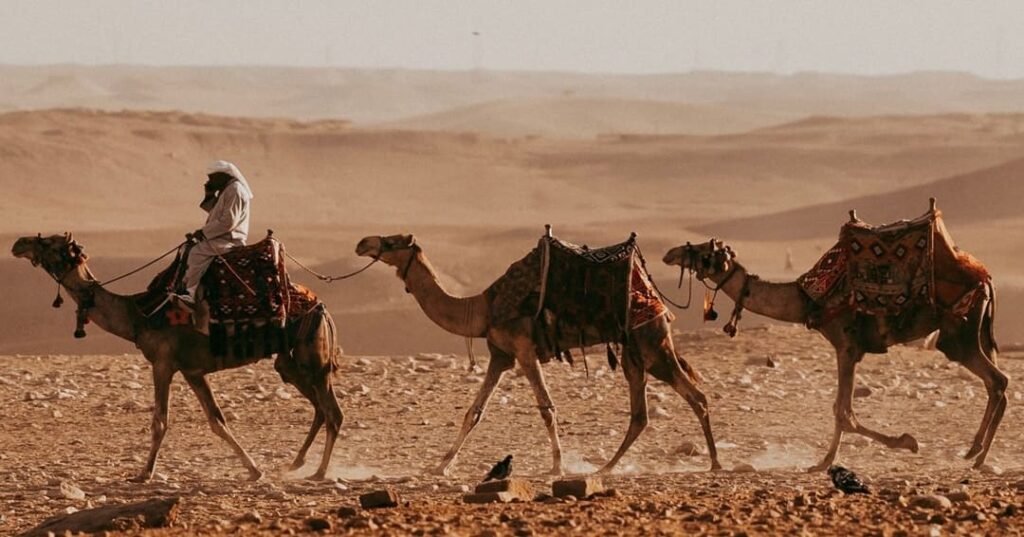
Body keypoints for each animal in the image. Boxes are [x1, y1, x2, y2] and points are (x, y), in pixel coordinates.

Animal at [12, 233, 344, 482]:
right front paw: (254, 470)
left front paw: (143, 474)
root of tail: (320, 306)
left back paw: (319, 472)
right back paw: (296, 463)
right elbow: (217, 420)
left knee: (333, 412)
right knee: (318, 407)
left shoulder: (163, 363)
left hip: (312, 358)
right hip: (290, 363)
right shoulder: (192, 371)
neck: (137, 316)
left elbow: (160, 420)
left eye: (50, 242)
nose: (18, 243)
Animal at [355, 233, 721, 476]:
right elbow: (474, 411)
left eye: (391, 242)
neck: (482, 307)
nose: (362, 243)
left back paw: (715, 462)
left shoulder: (524, 350)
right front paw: (441, 466)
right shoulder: (500, 356)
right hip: (636, 352)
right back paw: (605, 468)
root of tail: (654, 296)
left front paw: (557, 466)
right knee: (642, 413)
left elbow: (547, 408)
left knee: (695, 396)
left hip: (652, 343)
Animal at [663, 231, 1005, 472]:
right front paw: (825, 462)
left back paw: (977, 456)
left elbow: (844, 413)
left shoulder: (846, 345)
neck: (807, 299)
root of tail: (987, 280)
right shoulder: (847, 349)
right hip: (974, 333)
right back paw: (975, 453)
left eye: (704, 253)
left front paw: (906, 442)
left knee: (997, 380)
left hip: (960, 333)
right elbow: (841, 410)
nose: (670, 253)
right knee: (996, 383)